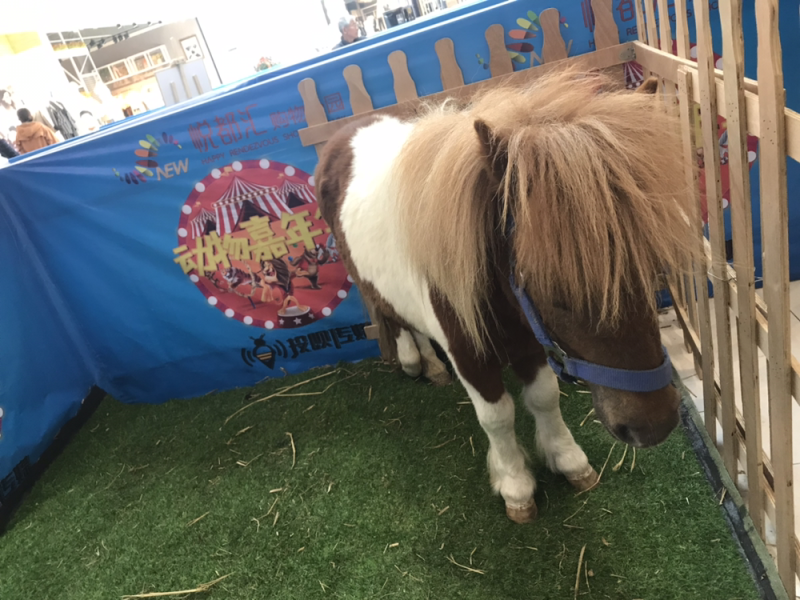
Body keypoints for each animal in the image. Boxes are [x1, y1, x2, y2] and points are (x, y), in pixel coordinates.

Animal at [315, 69, 692, 523]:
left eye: (653, 265)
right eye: (553, 289)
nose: (654, 425)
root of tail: (344, 134)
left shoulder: (531, 338)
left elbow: (544, 397)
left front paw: (568, 460)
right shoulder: (469, 354)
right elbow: (497, 416)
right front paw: (515, 485)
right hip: (363, 277)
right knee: (390, 315)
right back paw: (412, 359)